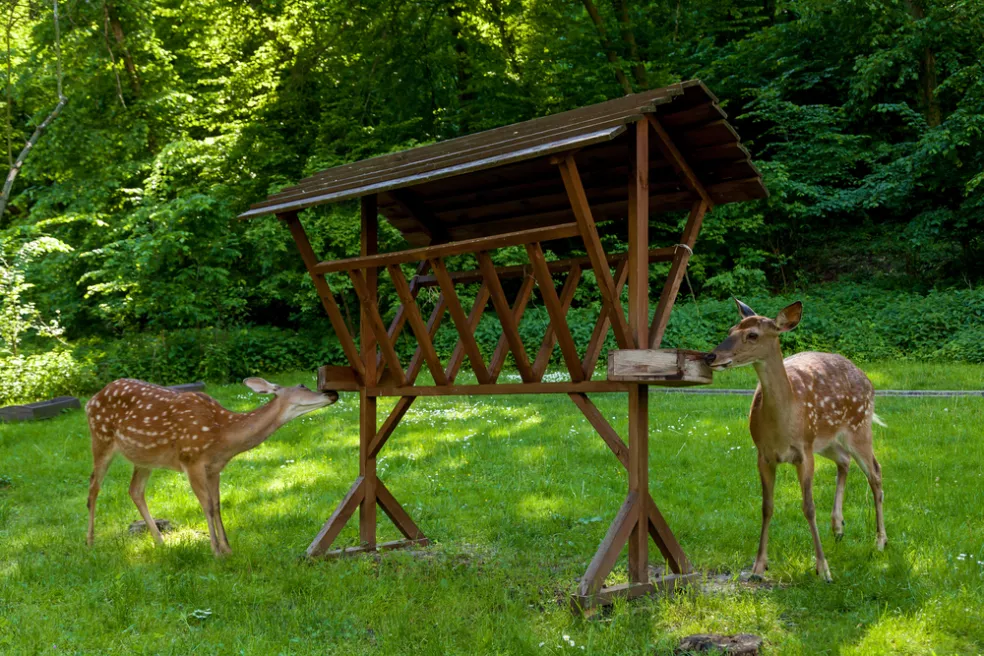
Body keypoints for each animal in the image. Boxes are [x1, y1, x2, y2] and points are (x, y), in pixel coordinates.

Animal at [85, 376, 338, 556]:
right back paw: (90, 541)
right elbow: (206, 505)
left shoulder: (215, 467)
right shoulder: (191, 460)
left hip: (145, 457)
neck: (222, 434)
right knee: (93, 487)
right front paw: (215, 551)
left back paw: (160, 542)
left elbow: (216, 505)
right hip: (101, 437)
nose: (332, 392)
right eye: (303, 385)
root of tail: (90, 401)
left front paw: (227, 549)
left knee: (135, 490)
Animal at [704, 300, 888, 580]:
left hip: (859, 427)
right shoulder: (763, 455)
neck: (783, 422)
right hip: (826, 441)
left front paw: (823, 569)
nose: (711, 356)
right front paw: (758, 567)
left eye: (752, 335)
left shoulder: (804, 452)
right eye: (730, 329)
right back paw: (838, 527)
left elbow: (809, 507)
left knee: (875, 472)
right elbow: (767, 507)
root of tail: (867, 379)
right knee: (844, 461)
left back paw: (880, 541)